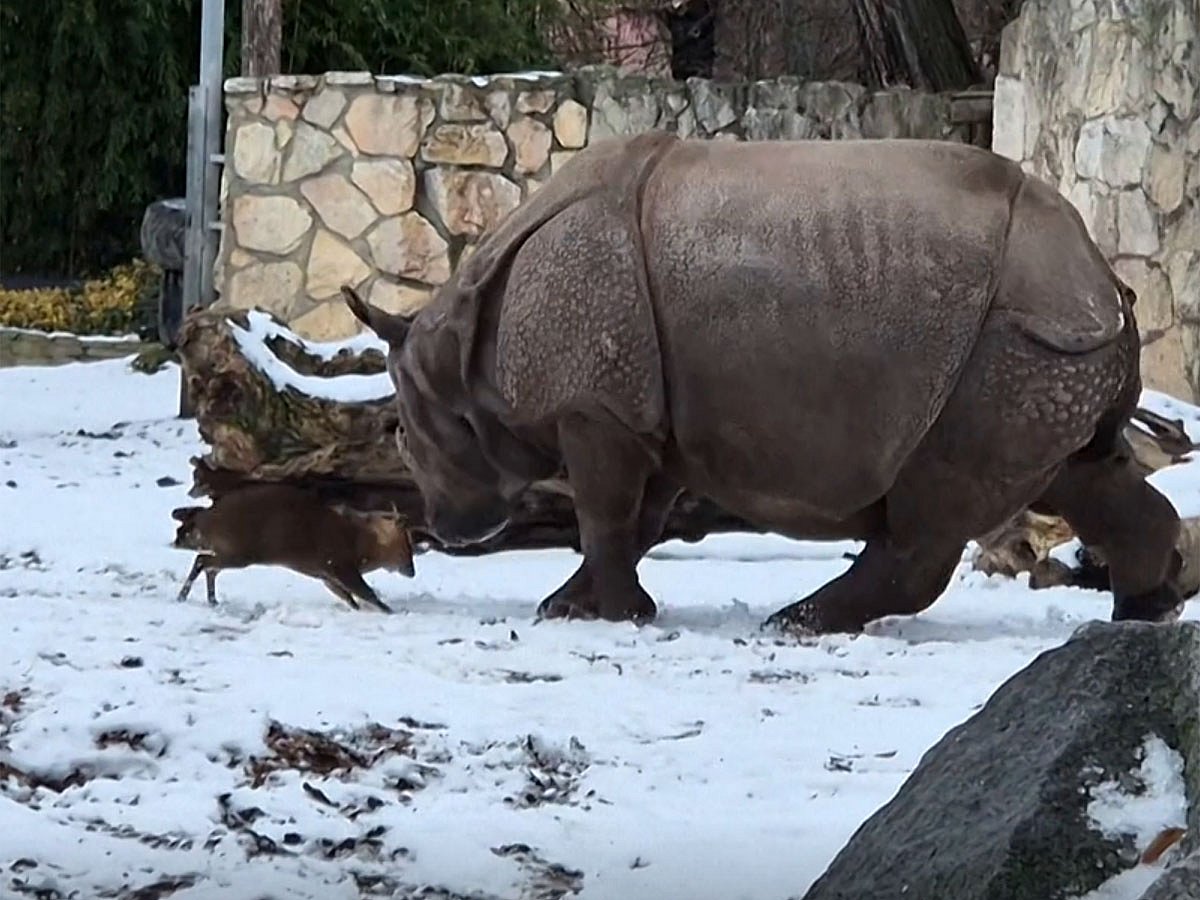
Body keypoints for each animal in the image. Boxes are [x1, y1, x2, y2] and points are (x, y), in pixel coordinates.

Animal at [343, 131, 1184, 634]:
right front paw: (581, 607)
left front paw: (599, 616)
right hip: (1052, 349)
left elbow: (604, 514)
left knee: (936, 500)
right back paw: (1143, 613)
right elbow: (638, 519)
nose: (448, 531)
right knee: (1080, 473)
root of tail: (1099, 272)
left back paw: (797, 622)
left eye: (402, 434)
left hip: (1010, 336)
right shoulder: (645, 414)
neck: (460, 343)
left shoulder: (597, 407)